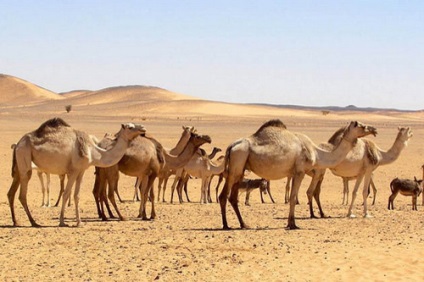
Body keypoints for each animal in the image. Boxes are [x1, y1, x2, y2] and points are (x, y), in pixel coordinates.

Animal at [8, 117, 146, 227]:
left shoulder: (81, 171)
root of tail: (18, 144)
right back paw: (33, 222)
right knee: (22, 195)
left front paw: (79, 222)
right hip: (25, 160)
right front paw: (62, 221)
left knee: (11, 193)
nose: (143, 128)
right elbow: (66, 193)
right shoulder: (74, 170)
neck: (93, 151)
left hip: (19, 167)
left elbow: (76, 195)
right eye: (130, 127)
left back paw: (16, 222)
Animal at [219, 118, 374, 229]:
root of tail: (231, 146)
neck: (316, 152)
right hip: (237, 162)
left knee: (232, 197)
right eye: (361, 125)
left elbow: (293, 196)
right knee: (223, 196)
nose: (373, 129)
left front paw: (290, 222)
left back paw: (243, 224)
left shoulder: (293, 173)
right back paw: (226, 225)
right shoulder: (300, 171)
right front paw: (293, 224)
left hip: (240, 169)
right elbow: (293, 197)